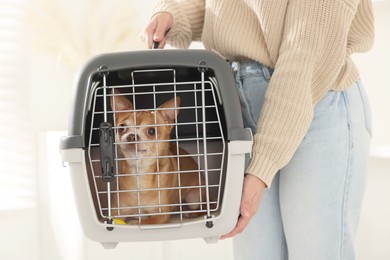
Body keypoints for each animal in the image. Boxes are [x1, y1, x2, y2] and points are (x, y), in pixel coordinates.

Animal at [109, 90, 206, 224]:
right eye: (122, 128)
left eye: (151, 131)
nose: (131, 136)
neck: (139, 172)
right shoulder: (117, 212)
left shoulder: (162, 214)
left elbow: (147, 222)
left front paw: (135, 222)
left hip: (194, 198)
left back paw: (190, 214)